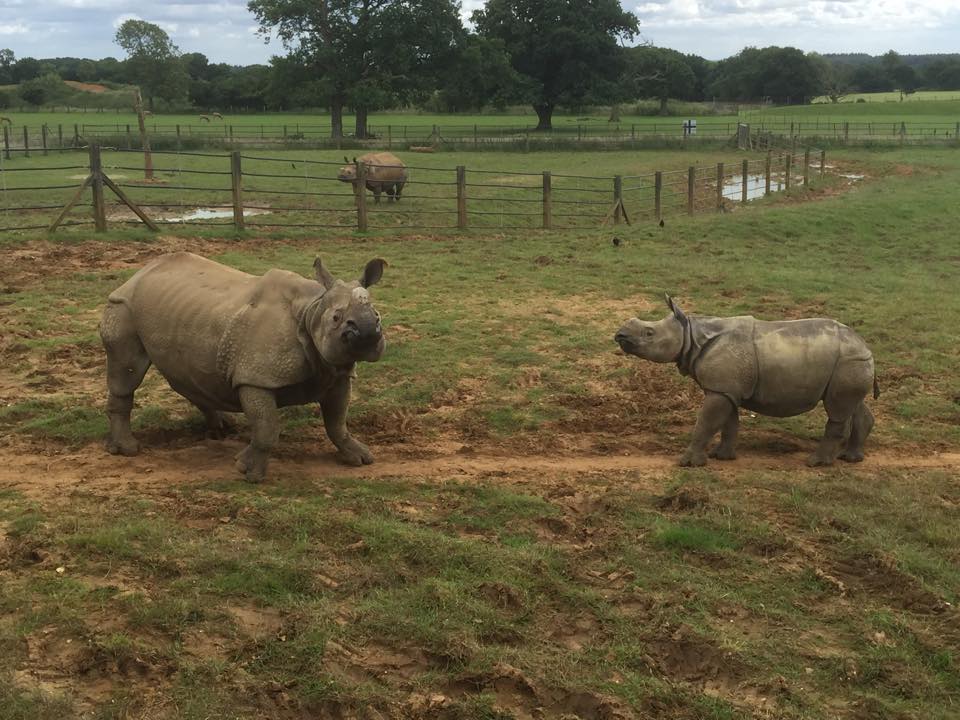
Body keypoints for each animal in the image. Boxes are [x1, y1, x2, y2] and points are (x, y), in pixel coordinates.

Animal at [99, 252, 386, 483]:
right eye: (337, 318)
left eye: (377, 316)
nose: (367, 334)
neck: (313, 309)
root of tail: (139, 273)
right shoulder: (254, 376)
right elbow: (267, 427)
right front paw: (247, 472)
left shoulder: (336, 373)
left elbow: (337, 422)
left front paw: (360, 458)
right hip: (122, 306)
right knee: (127, 371)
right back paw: (127, 450)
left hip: (183, 314)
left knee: (186, 373)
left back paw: (221, 428)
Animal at [615, 296, 878, 467]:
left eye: (649, 333)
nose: (619, 335)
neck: (690, 334)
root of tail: (865, 345)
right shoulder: (726, 389)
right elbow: (728, 423)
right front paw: (722, 457)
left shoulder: (721, 389)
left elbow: (706, 423)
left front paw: (688, 463)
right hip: (852, 361)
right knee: (852, 406)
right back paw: (851, 458)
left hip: (847, 360)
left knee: (837, 410)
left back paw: (816, 463)